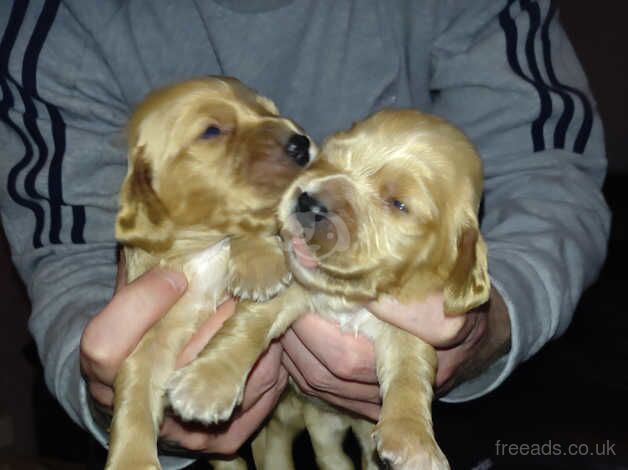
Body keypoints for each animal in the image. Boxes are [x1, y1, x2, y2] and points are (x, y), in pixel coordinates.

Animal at [106, 75, 318, 468]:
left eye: (270, 110)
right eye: (212, 131)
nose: (301, 142)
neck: (202, 250)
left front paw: (259, 266)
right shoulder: (151, 337)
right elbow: (134, 392)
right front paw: (131, 459)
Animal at [169, 108, 494, 468]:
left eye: (397, 204)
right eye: (328, 158)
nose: (308, 201)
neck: (346, 297)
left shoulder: (410, 325)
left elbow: (412, 370)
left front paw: (415, 442)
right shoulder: (290, 288)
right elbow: (247, 326)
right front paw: (206, 385)